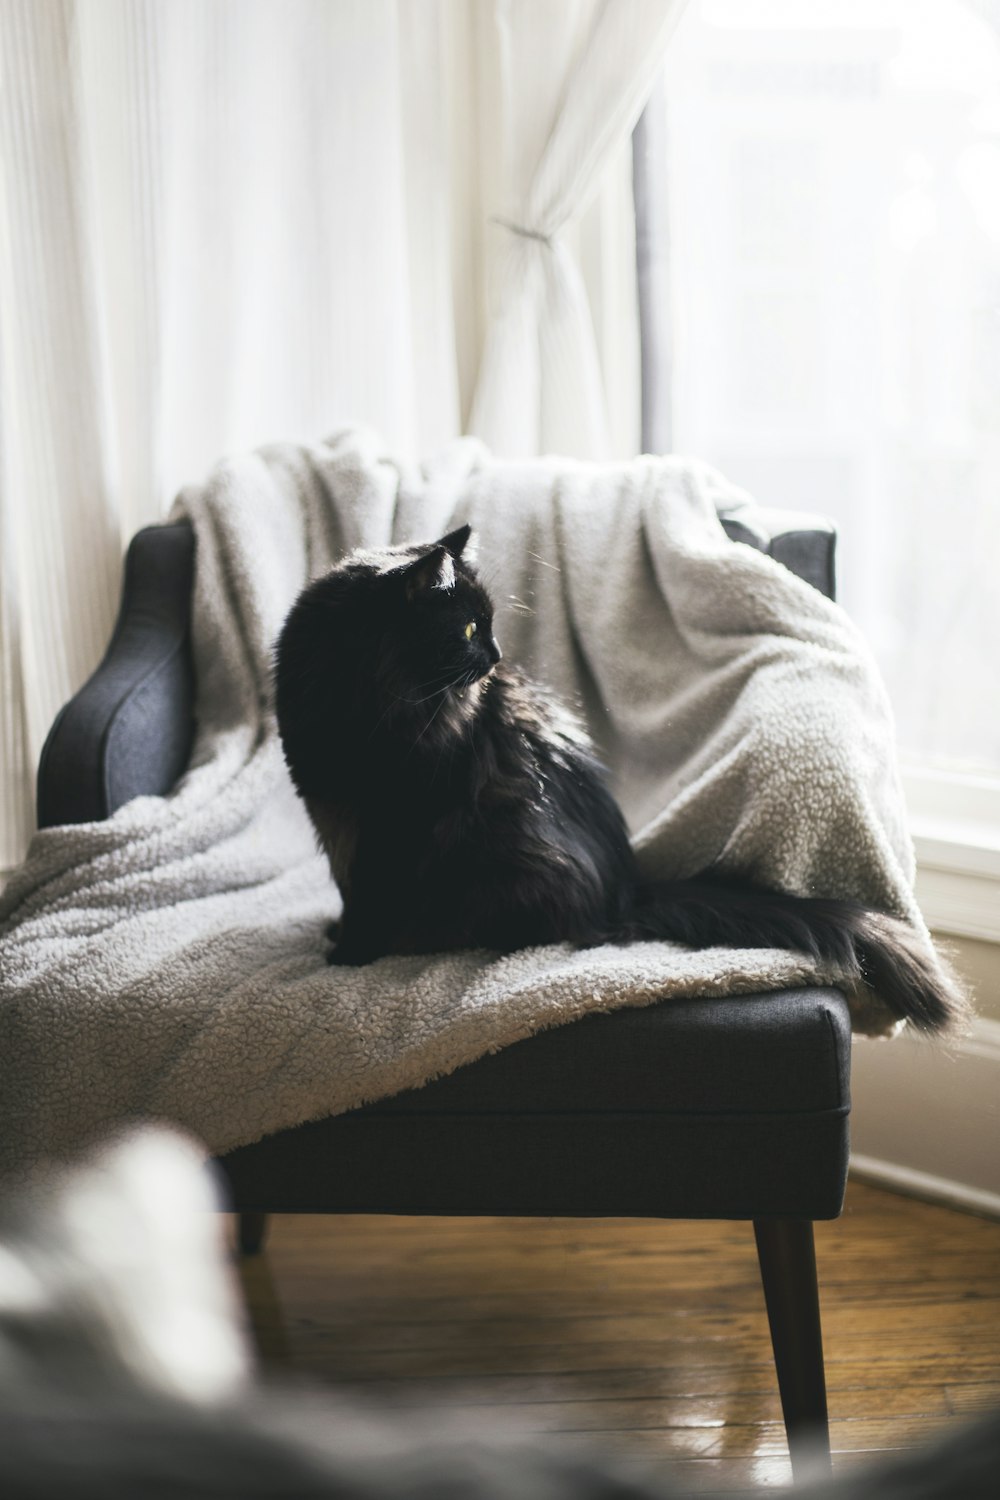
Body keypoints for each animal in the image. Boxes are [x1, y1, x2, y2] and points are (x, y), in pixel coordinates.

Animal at [277, 525, 965, 1032]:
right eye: (469, 629)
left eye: (489, 624)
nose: (498, 657)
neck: (351, 704)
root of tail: (626, 890)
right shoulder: (332, 810)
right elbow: (350, 889)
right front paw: (341, 938)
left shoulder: (394, 822)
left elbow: (371, 896)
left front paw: (350, 955)